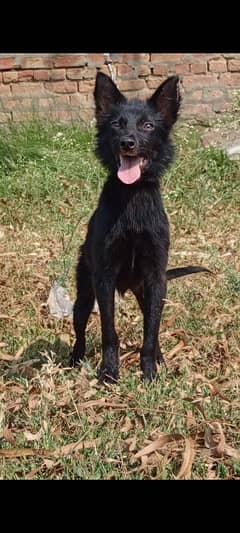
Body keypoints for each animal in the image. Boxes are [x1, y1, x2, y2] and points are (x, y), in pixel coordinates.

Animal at [70, 72, 209, 382]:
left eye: (147, 125)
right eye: (116, 125)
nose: (127, 143)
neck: (132, 198)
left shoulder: (156, 277)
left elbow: (150, 332)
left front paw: (149, 372)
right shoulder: (104, 278)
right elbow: (109, 331)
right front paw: (109, 371)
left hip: (149, 292)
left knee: (152, 326)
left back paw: (159, 357)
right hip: (84, 294)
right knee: (80, 327)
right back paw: (75, 357)